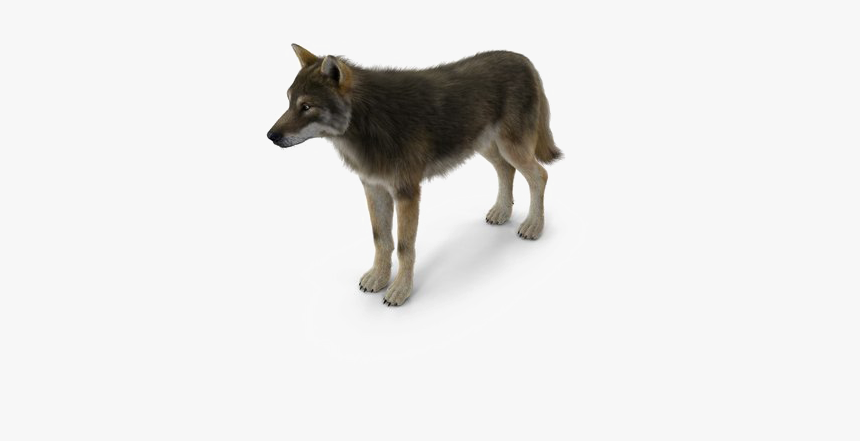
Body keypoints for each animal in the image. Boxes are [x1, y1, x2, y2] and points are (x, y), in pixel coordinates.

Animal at [267, 44, 562, 306]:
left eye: (306, 107)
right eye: (289, 101)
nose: (271, 136)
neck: (369, 121)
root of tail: (523, 59)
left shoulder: (407, 193)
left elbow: (404, 247)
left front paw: (400, 291)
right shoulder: (374, 188)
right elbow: (381, 240)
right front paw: (378, 278)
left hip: (510, 148)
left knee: (540, 175)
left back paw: (534, 226)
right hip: (487, 147)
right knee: (505, 169)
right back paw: (502, 212)